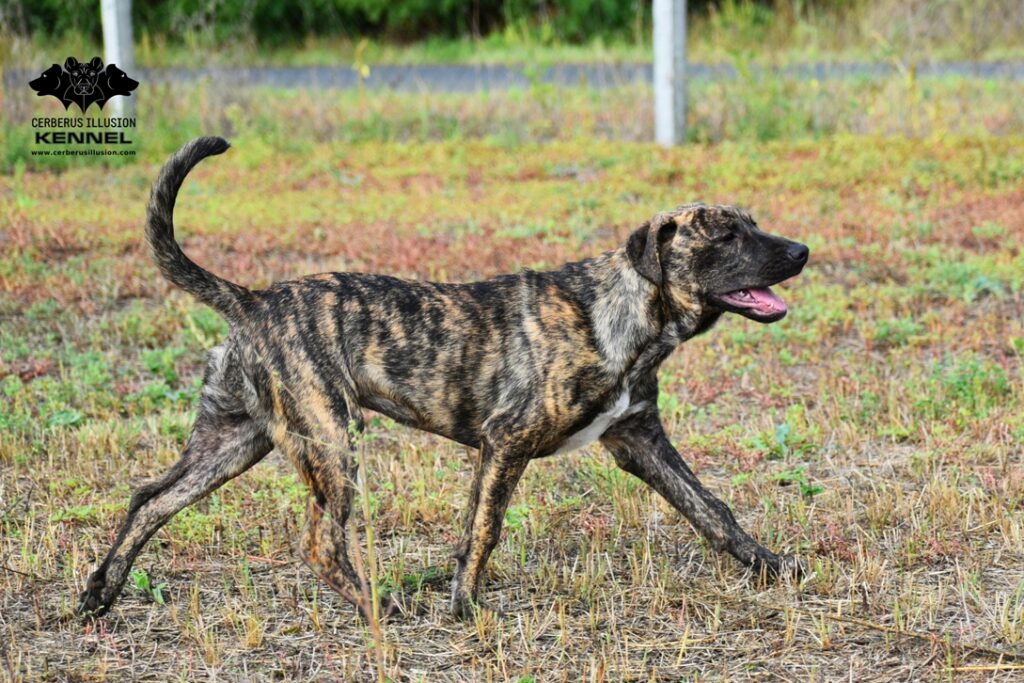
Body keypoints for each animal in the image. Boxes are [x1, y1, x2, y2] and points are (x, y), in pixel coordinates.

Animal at [77, 136, 806, 622]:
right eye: (725, 234)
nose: (802, 251)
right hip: (333, 440)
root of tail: (253, 300)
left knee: (151, 499)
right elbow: (484, 530)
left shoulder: (639, 439)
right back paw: (376, 607)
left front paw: (770, 565)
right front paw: (465, 608)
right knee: (320, 541)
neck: (623, 313)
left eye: (752, 223)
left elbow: (711, 508)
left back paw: (98, 594)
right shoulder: (506, 442)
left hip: (235, 440)